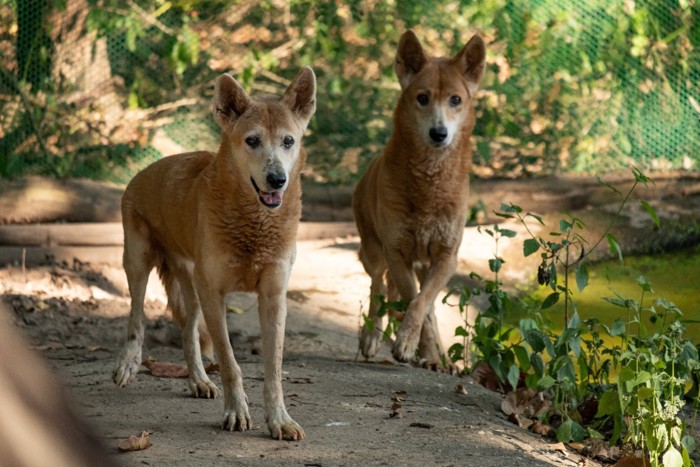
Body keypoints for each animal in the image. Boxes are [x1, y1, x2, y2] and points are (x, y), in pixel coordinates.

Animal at [113, 67, 316, 440]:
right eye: (252, 141)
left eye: (288, 141)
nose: (277, 179)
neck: (254, 225)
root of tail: (142, 172)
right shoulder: (214, 295)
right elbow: (230, 362)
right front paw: (236, 412)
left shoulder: (273, 297)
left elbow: (273, 370)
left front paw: (279, 419)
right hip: (138, 265)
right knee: (137, 319)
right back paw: (128, 365)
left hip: (191, 288)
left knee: (188, 331)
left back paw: (199, 380)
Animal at [352, 30, 484, 370]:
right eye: (422, 98)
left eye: (455, 100)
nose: (439, 133)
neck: (429, 185)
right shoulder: (397, 252)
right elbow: (412, 301)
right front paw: (410, 345)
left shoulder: (446, 258)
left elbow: (421, 304)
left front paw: (426, 353)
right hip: (374, 252)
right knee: (377, 287)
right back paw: (372, 338)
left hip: (424, 266)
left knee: (426, 305)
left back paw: (440, 357)